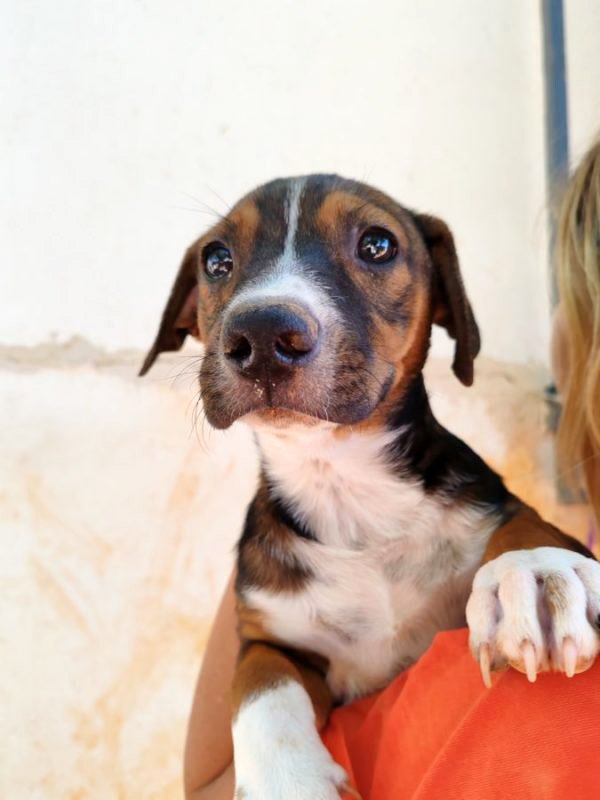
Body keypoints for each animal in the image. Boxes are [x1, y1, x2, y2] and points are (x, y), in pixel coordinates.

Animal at [141, 175, 600, 799]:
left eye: (378, 245)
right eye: (216, 259)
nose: (260, 333)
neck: (344, 483)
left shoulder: (488, 500)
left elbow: (525, 521)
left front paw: (533, 572)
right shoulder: (268, 636)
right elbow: (260, 684)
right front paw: (289, 782)